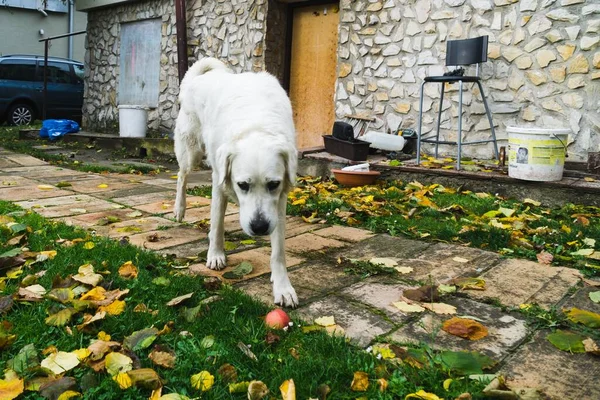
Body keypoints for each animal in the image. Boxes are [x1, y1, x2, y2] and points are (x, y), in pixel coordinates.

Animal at [172, 57, 298, 306]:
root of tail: (197, 78)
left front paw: (283, 287)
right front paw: (215, 255)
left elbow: (279, 250)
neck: (257, 121)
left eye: (273, 184)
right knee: (182, 175)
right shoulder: (219, 181)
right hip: (190, 152)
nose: (259, 228)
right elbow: (217, 223)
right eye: (243, 185)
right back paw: (179, 209)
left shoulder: (279, 201)